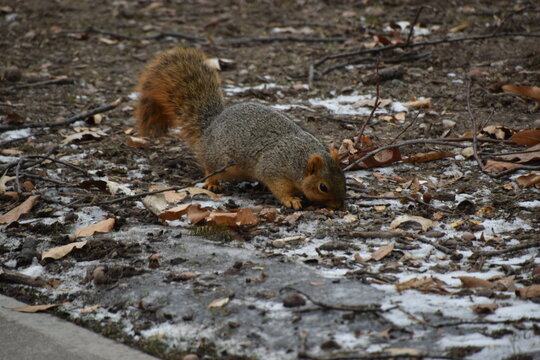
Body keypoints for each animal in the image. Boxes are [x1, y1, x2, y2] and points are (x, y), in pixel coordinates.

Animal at [135, 48, 346, 211]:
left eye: (344, 179)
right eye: (323, 187)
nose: (338, 206)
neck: (299, 160)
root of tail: (210, 126)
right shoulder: (274, 169)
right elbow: (280, 189)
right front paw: (292, 200)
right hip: (221, 161)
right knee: (209, 167)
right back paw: (212, 183)